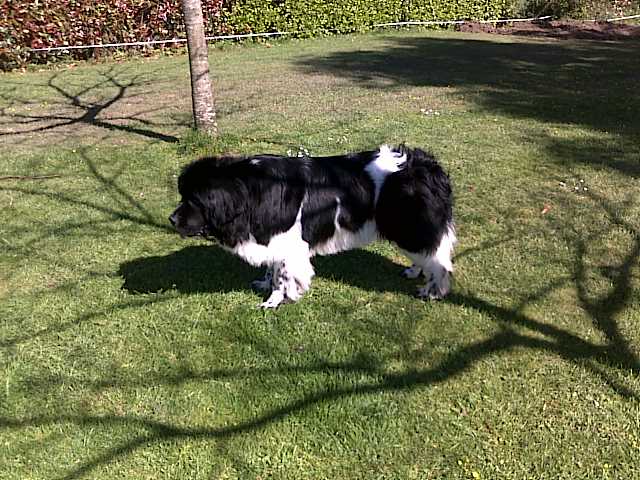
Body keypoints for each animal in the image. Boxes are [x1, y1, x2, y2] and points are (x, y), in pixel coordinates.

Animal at [169, 145, 456, 308]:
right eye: (183, 196)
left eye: (193, 200)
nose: (171, 219)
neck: (250, 191)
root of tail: (428, 165)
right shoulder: (274, 239)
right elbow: (272, 269)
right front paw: (266, 286)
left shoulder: (288, 244)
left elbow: (282, 276)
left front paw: (276, 301)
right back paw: (414, 271)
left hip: (411, 226)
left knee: (438, 262)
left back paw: (430, 292)